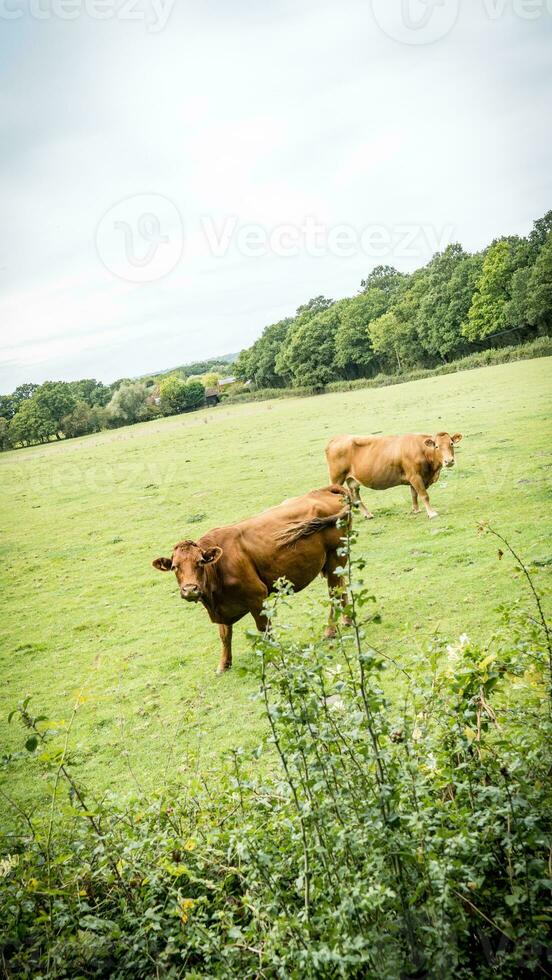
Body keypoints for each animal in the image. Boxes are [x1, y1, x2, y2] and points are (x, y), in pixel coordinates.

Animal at [152, 484, 350, 668]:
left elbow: (264, 629)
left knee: (334, 594)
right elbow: (225, 635)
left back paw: (330, 631)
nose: (190, 589)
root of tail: (322, 490)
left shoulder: (257, 597)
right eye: (175, 567)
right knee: (343, 586)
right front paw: (224, 664)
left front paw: (272, 660)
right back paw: (347, 620)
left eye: (200, 562)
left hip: (335, 558)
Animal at [326, 430, 464, 520]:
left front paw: (416, 510)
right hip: (337, 477)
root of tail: (336, 438)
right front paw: (431, 513)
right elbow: (424, 495)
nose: (449, 461)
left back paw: (368, 514)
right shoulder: (415, 476)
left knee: (355, 495)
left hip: (352, 480)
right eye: (436, 446)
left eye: (451, 444)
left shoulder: (414, 477)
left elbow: (414, 494)